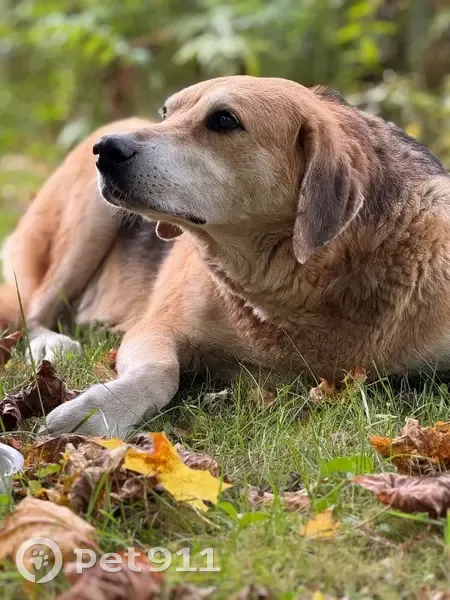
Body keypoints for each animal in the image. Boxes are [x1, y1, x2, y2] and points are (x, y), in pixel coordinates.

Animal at [1, 76, 450, 438]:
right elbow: (162, 371)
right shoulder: (156, 327)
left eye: (224, 121)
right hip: (86, 225)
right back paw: (51, 344)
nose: (105, 150)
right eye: (165, 113)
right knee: (32, 313)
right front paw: (96, 413)